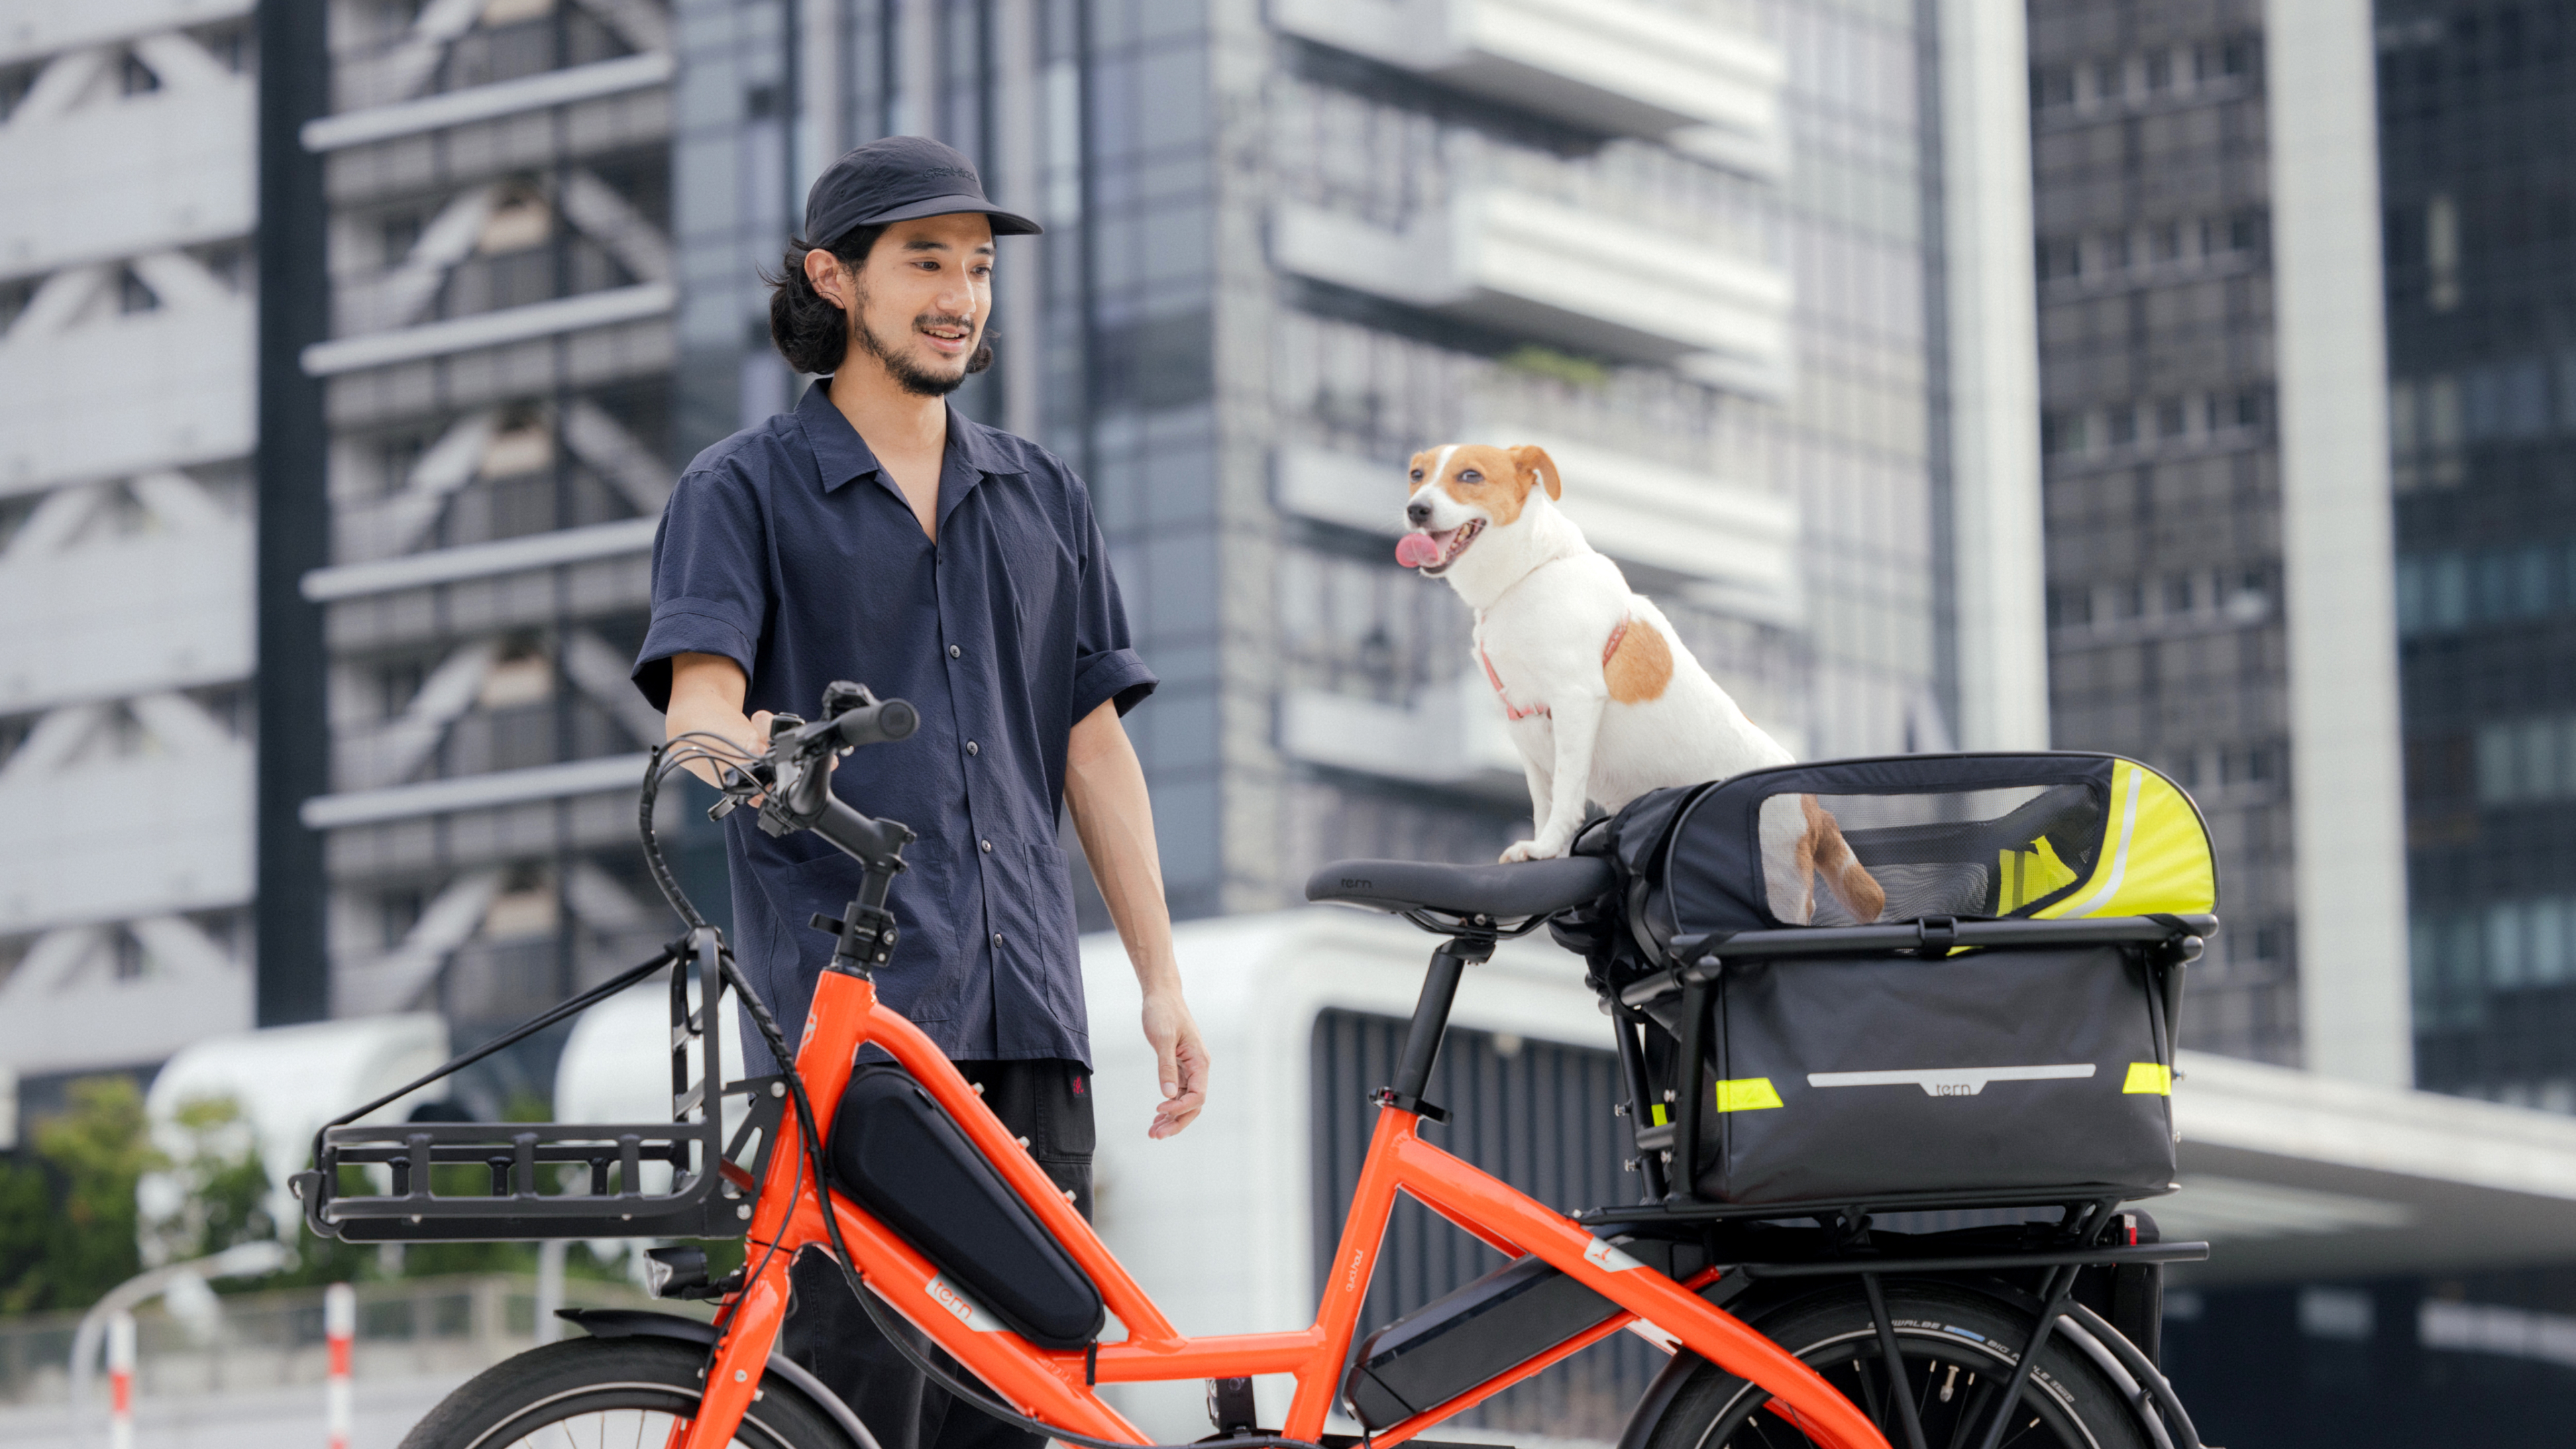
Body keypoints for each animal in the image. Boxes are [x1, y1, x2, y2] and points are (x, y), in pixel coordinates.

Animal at [1401, 433, 1885, 918]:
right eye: (1417, 475)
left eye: (1471, 476)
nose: (1415, 510)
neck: (1526, 575)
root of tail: (1813, 810)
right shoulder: (1523, 722)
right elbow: (1544, 800)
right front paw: (1542, 851)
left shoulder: (1575, 701)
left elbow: (1567, 792)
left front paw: (1544, 849)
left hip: (1778, 886)